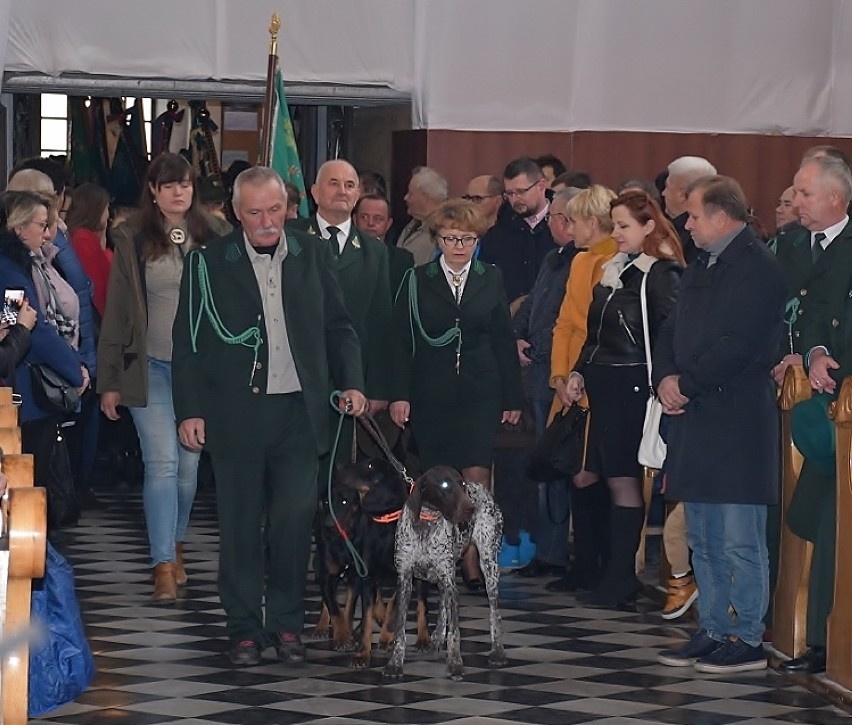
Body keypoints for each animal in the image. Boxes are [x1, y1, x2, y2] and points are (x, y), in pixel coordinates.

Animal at [384, 464, 506, 680]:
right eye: (444, 486)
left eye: (462, 484)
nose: (470, 509)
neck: (426, 522)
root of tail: (484, 489)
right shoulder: (405, 580)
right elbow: (400, 631)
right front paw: (395, 663)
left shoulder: (450, 581)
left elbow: (455, 632)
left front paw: (455, 663)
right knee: (443, 607)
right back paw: (436, 639)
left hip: (489, 566)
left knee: (494, 612)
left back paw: (497, 651)